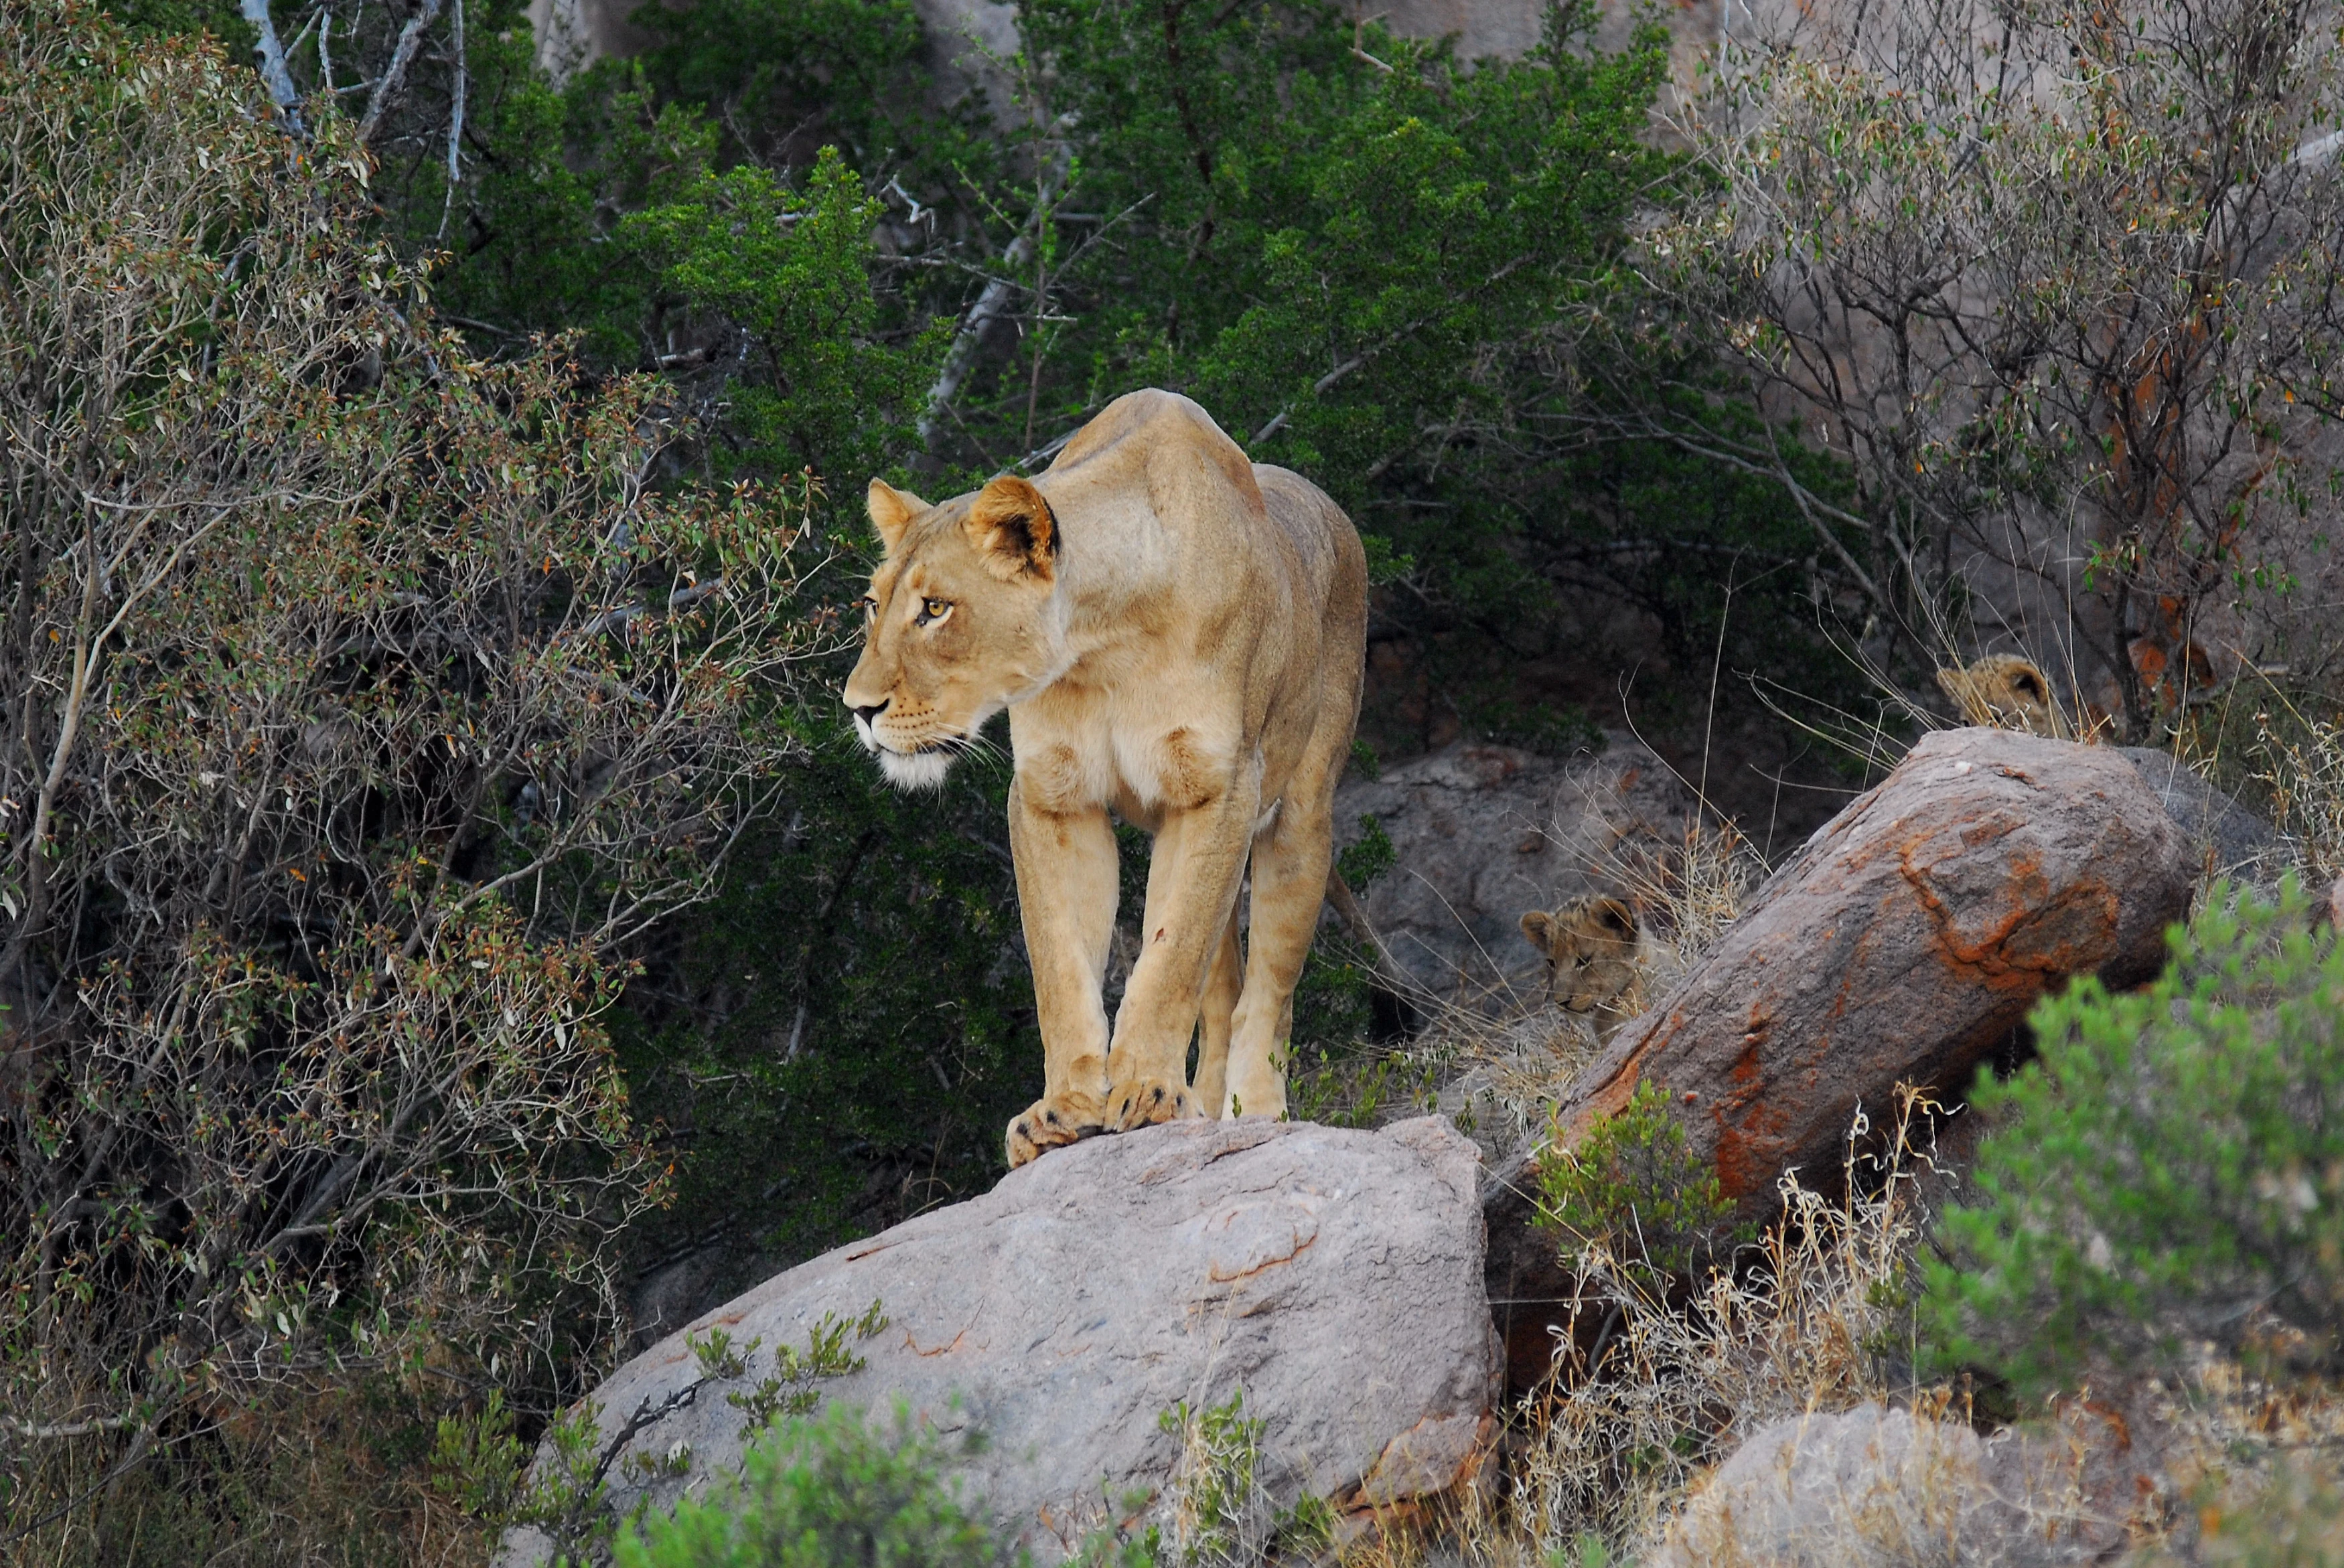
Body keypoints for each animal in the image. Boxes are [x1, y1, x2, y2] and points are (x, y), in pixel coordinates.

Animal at [841, 390, 1368, 1167]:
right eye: (875, 605)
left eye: (935, 608)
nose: (858, 708)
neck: (1105, 640)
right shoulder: (1052, 797)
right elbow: (1061, 964)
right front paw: (1061, 1109)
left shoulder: (1219, 787)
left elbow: (1169, 958)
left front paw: (1146, 1091)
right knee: (1221, 987)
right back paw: (1205, 1103)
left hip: (1300, 816)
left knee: (1268, 985)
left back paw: (1253, 1111)